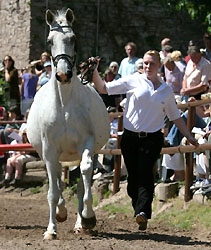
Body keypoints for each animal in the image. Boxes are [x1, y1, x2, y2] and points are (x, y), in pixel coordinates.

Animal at [26, 8, 109, 239]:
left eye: (73, 39)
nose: (64, 74)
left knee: (81, 181)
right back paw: (61, 213)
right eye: (49, 41)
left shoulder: (86, 144)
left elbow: (85, 175)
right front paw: (51, 229)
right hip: (50, 154)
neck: (64, 105)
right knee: (56, 179)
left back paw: (81, 222)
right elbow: (53, 192)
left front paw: (88, 218)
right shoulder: (49, 149)